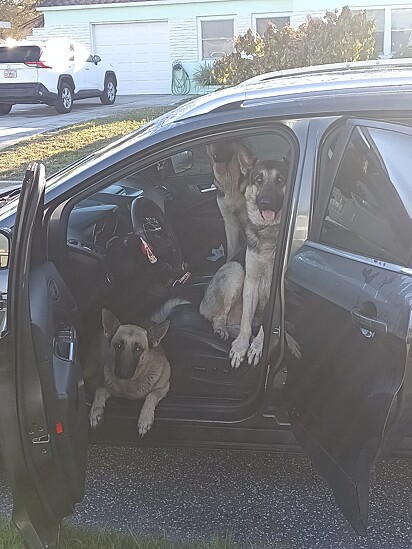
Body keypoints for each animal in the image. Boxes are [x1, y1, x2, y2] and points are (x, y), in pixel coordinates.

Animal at [200, 150, 300, 366]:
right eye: (258, 180)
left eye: (280, 179)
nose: (266, 203)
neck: (269, 232)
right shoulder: (251, 282)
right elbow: (246, 319)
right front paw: (241, 347)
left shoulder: (277, 291)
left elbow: (268, 324)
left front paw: (257, 345)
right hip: (236, 271)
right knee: (219, 318)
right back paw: (222, 330)